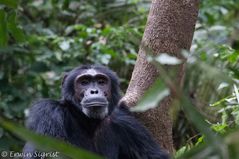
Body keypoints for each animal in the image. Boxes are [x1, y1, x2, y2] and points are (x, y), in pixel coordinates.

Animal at [22, 64, 168, 158]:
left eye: (101, 82)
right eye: (84, 82)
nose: (94, 91)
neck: (87, 121)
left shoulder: (128, 125)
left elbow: (155, 156)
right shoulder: (48, 112)